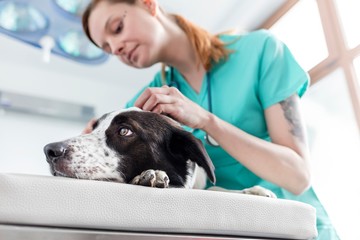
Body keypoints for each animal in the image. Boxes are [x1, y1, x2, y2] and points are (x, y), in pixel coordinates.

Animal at [44, 108, 276, 197]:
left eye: (125, 131)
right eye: (93, 128)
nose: (50, 150)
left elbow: (216, 187)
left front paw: (253, 191)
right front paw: (149, 175)